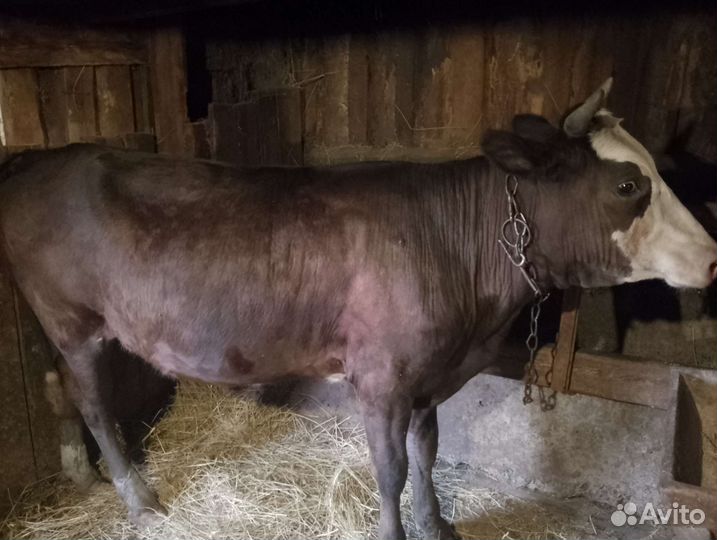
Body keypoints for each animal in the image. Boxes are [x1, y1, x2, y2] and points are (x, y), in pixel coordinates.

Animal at [0, 78, 715, 540]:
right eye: (628, 184)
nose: (712, 256)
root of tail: (43, 159)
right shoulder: (382, 375)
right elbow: (391, 467)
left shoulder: (431, 373)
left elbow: (428, 451)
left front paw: (438, 525)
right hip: (73, 320)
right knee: (94, 403)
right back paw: (138, 498)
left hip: (54, 324)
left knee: (55, 387)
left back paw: (82, 477)